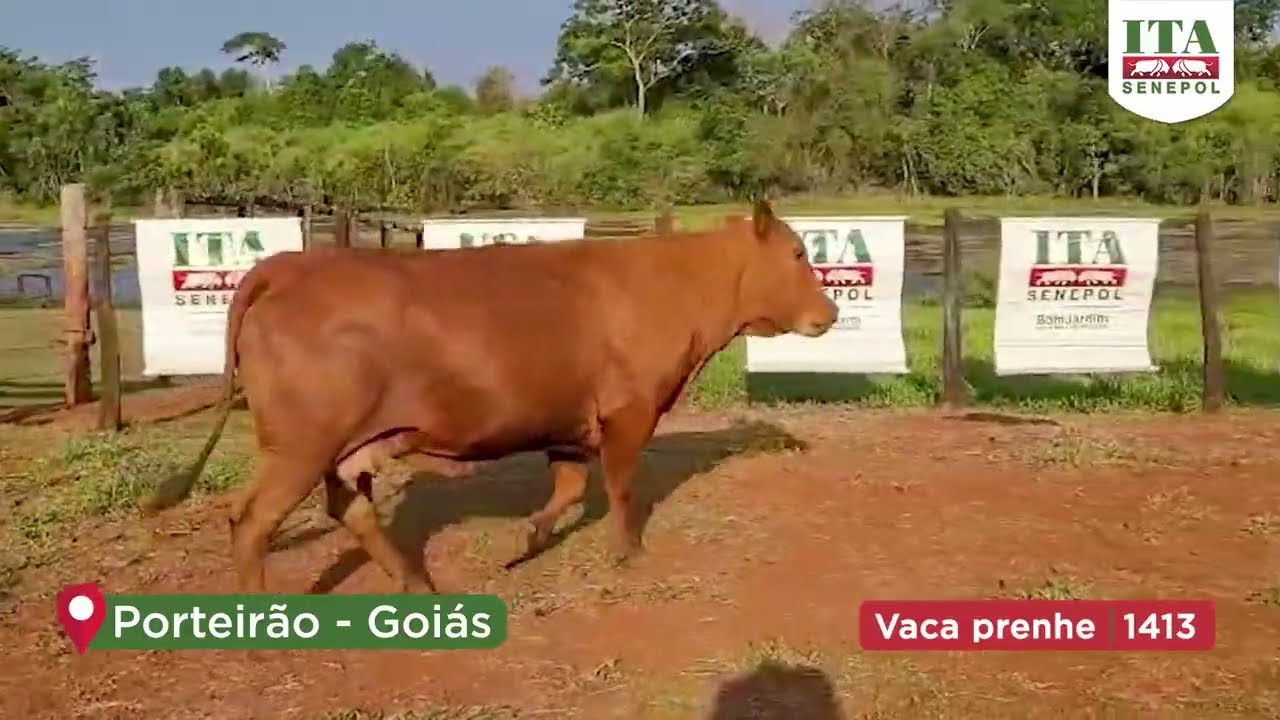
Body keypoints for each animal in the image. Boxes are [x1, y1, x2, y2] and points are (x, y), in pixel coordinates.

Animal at [143, 199, 839, 594]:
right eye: (798, 253)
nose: (830, 313)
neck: (675, 283)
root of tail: (288, 264)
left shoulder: (567, 421)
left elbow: (567, 490)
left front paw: (520, 544)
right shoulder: (630, 410)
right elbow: (618, 488)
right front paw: (626, 553)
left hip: (348, 446)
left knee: (351, 509)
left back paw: (417, 584)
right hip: (300, 445)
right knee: (252, 519)